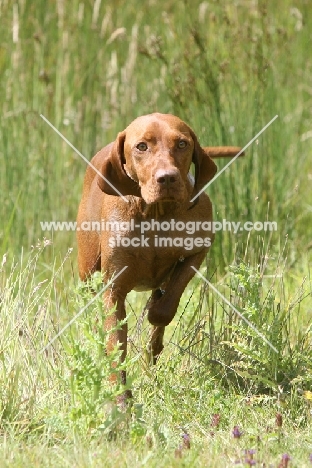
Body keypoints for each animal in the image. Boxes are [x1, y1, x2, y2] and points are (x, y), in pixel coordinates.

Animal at [77, 113, 241, 402]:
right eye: (141, 146)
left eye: (182, 144)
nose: (167, 178)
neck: (155, 213)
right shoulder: (113, 288)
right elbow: (115, 342)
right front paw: (120, 399)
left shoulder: (197, 252)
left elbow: (165, 307)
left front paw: (155, 315)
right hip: (86, 271)